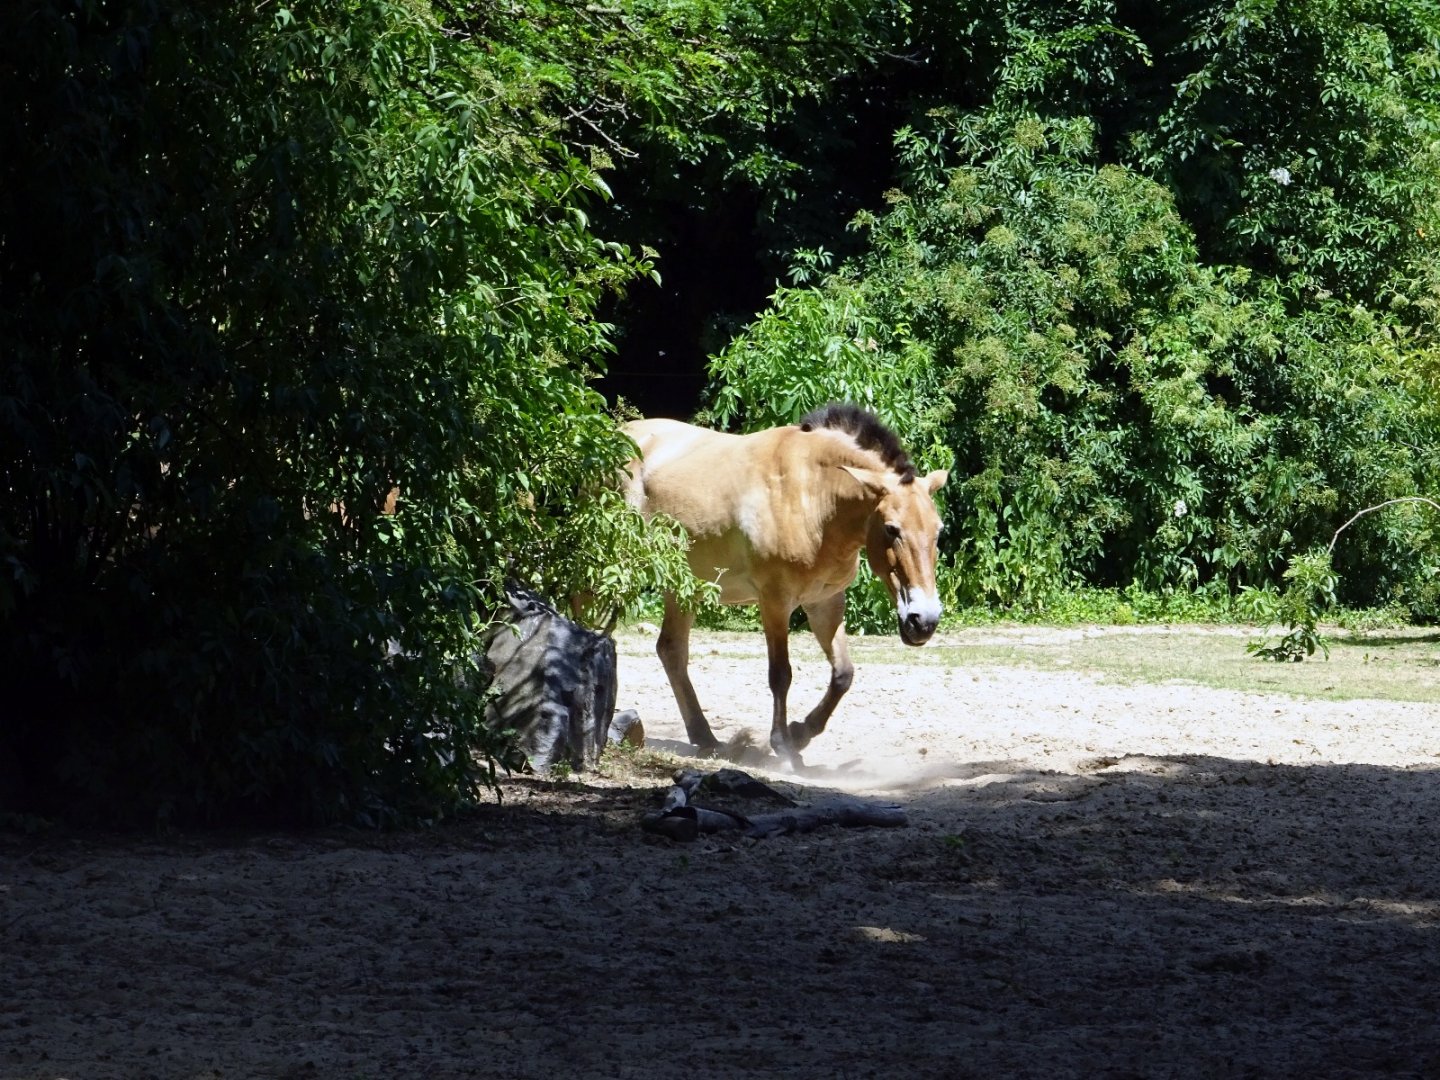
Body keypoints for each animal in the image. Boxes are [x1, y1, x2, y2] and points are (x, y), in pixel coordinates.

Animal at [623, 403, 948, 766]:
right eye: (892, 529)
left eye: (938, 530)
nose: (924, 621)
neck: (813, 496)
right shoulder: (775, 602)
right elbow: (781, 675)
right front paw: (783, 745)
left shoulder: (825, 603)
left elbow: (842, 675)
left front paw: (801, 732)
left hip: (683, 588)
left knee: (671, 650)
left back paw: (705, 738)